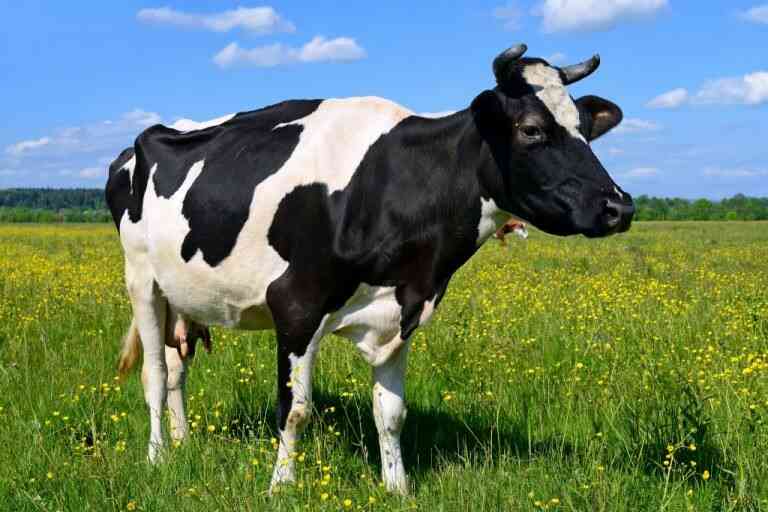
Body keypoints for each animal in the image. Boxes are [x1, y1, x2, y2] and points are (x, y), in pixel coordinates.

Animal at [105, 44, 634, 494]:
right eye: (531, 129)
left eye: (585, 127)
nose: (619, 206)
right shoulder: (295, 306)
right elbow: (294, 410)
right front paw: (281, 487)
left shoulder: (402, 311)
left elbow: (392, 413)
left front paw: (398, 488)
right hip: (142, 281)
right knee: (154, 373)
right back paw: (157, 457)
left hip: (183, 295)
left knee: (177, 367)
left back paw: (183, 443)